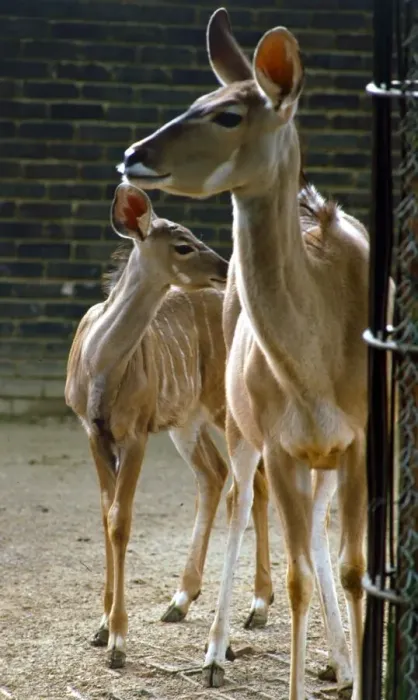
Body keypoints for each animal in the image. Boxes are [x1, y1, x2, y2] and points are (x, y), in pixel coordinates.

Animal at [65, 182, 274, 670]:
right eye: (183, 245)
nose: (225, 268)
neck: (100, 366)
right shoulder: (93, 432)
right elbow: (105, 514)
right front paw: (101, 628)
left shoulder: (135, 432)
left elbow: (121, 519)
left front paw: (118, 640)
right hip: (187, 421)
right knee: (215, 475)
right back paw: (180, 600)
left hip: (224, 409)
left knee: (253, 482)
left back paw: (257, 607)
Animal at [117, 8, 371, 700]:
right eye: (196, 100)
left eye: (229, 113)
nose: (133, 156)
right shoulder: (280, 444)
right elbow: (296, 576)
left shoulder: (360, 443)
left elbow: (352, 568)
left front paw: (351, 668)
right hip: (241, 430)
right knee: (236, 500)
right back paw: (214, 648)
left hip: (318, 459)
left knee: (312, 528)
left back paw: (338, 660)